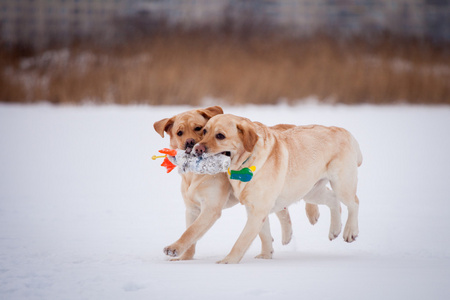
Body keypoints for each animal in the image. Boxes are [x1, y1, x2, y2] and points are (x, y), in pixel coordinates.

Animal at [154, 107, 302, 260]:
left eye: (198, 128)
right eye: (179, 133)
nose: (190, 142)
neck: (194, 176)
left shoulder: (211, 208)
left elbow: (191, 231)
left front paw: (174, 248)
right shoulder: (192, 209)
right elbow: (191, 233)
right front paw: (185, 258)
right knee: (282, 210)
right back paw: (286, 236)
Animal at [193, 113, 362, 264]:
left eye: (220, 136)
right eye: (204, 131)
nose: (197, 149)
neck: (246, 163)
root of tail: (343, 131)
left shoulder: (258, 210)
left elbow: (242, 240)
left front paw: (228, 261)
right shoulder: (253, 208)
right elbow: (264, 235)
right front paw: (266, 256)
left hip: (341, 184)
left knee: (354, 203)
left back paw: (350, 231)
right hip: (311, 191)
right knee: (333, 200)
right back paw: (335, 229)